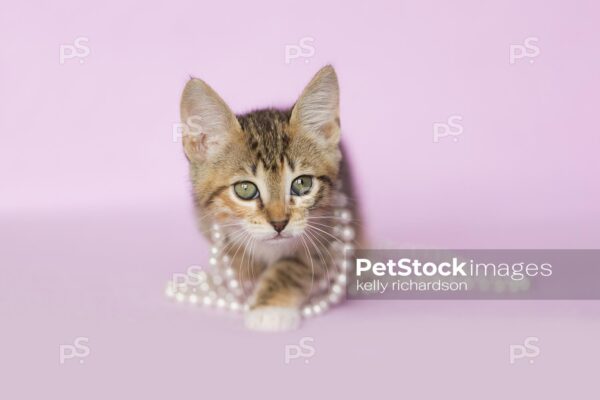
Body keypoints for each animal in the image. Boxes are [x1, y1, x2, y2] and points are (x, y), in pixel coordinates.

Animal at [178, 65, 356, 332]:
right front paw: (246, 276)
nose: (279, 223)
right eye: (245, 189)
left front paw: (270, 309)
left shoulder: (327, 227)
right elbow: (237, 257)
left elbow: (293, 267)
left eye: (302, 184)